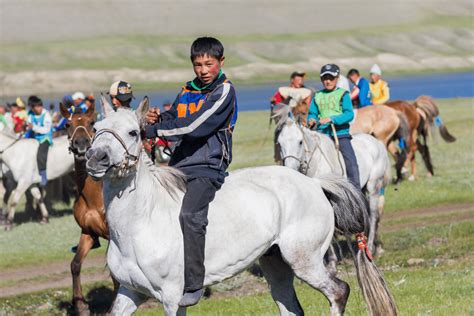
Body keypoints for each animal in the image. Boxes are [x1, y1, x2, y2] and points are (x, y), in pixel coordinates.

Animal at [58, 102, 116, 314]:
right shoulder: (88, 232)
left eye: (92, 123)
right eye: (67, 124)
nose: (81, 143)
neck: (93, 197)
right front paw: (80, 305)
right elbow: (75, 264)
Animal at [276, 105, 390, 256]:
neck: (316, 166)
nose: (290, 168)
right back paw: (376, 246)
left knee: (373, 215)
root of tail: (376, 142)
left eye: (300, 141)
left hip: (374, 186)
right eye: (279, 143)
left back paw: (370, 247)